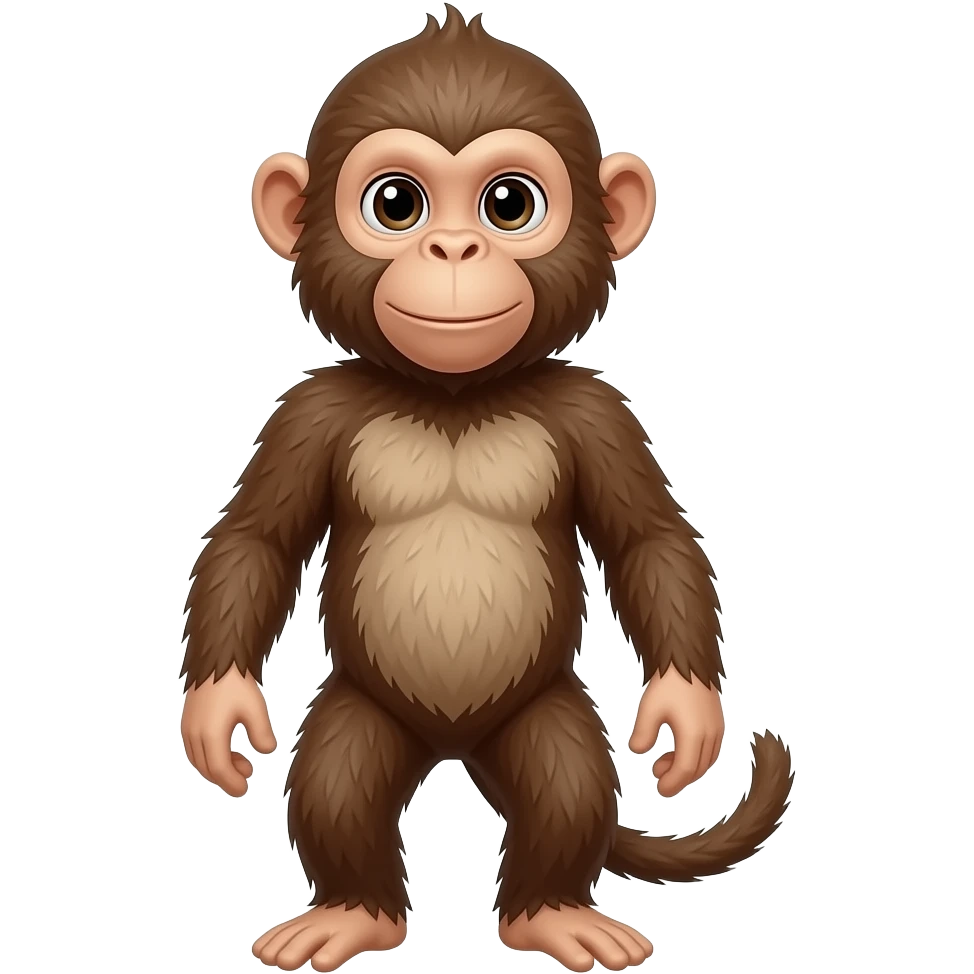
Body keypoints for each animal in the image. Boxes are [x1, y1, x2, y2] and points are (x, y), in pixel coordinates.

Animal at [178, 7, 794, 973]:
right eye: (396, 203)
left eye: (510, 204)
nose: (455, 247)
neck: (455, 397)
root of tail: (455, 746)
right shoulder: (309, 410)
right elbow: (256, 541)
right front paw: (219, 711)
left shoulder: (596, 409)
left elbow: (649, 539)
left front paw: (687, 714)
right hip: (364, 710)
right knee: (337, 781)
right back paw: (352, 911)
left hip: (541, 715)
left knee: (564, 780)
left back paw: (552, 911)